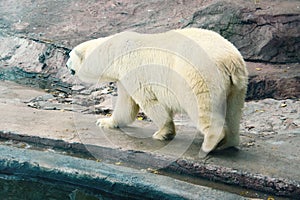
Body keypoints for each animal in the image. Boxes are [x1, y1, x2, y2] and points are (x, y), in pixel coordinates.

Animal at [67, 28, 248, 153]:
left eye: (69, 56)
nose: (67, 65)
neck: (115, 51)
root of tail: (230, 61)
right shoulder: (124, 77)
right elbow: (126, 105)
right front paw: (105, 122)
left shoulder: (132, 68)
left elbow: (148, 100)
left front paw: (163, 133)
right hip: (238, 85)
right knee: (233, 111)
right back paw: (228, 143)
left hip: (197, 74)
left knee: (200, 105)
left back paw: (211, 142)